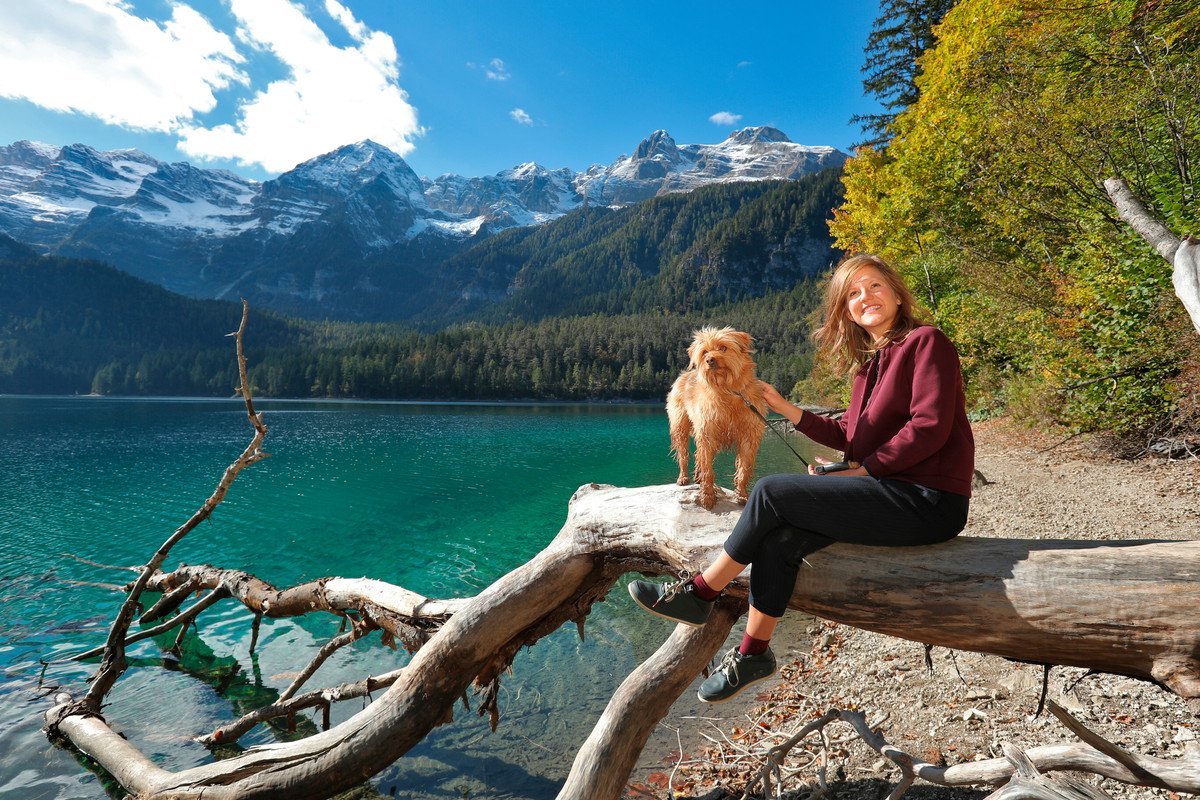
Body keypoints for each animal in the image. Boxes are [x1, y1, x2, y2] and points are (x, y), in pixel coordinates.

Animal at [672, 326, 763, 510]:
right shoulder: (707, 432)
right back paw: (683, 477)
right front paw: (707, 497)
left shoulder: (749, 435)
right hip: (680, 426)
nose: (710, 360)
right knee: (683, 453)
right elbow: (708, 468)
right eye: (704, 352)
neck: (727, 390)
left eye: (723, 347)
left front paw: (742, 496)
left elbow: (744, 469)